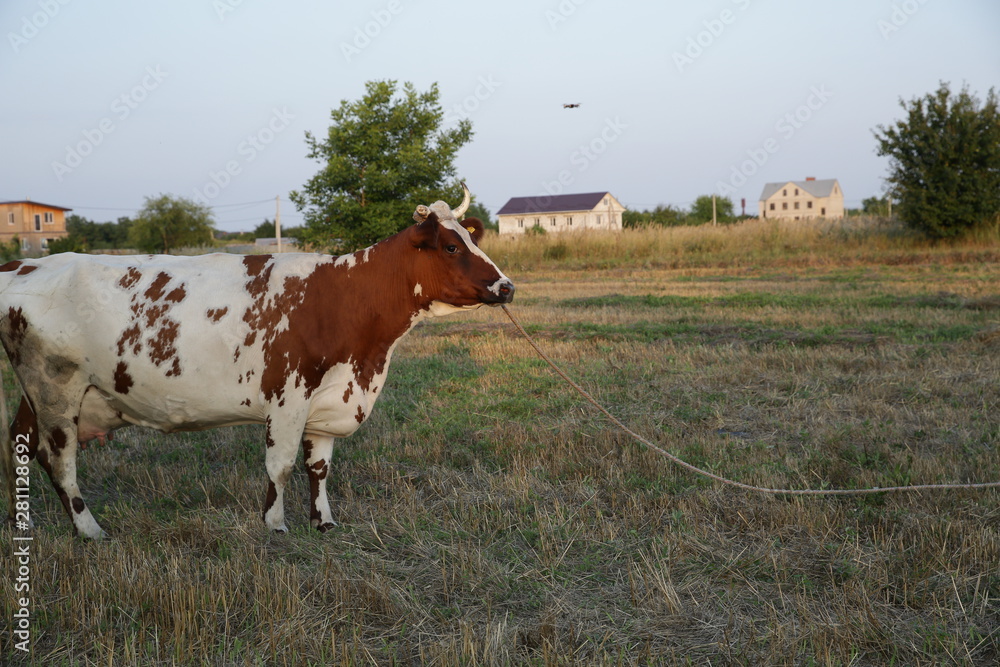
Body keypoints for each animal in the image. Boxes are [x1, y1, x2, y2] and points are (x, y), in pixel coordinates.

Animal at [0, 185, 512, 540]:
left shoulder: (328, 398)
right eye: (451, 247)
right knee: (58, 458)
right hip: (56, 388)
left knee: (19, 442)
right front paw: (275, 524)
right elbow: (280, 464)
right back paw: (90, 530)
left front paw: (324, 522)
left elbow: (319, 467)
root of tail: (22, 265)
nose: (506, 286)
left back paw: (20, 522)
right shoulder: (289, 395)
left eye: (473, 240)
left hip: (36, 393)